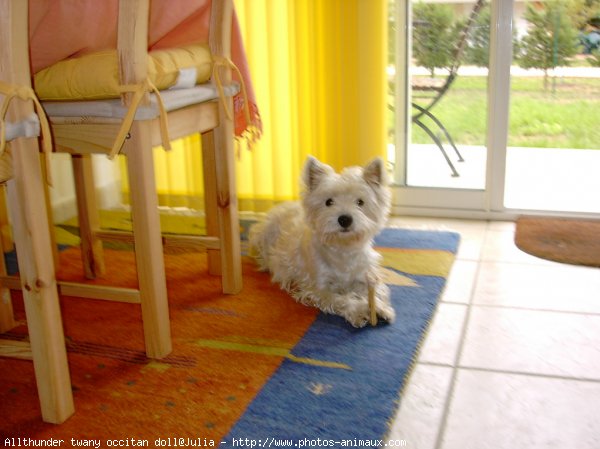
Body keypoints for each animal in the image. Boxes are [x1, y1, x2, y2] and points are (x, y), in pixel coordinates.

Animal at [248, 157, 394, 326]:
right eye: (328, 202)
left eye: (360, 202)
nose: (345, 219)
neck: (342, 249)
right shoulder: (318, 288)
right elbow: (341, 299)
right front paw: (359, 311)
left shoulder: (365, 276)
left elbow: (375, 291)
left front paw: (380, 308)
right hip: (263, 238)